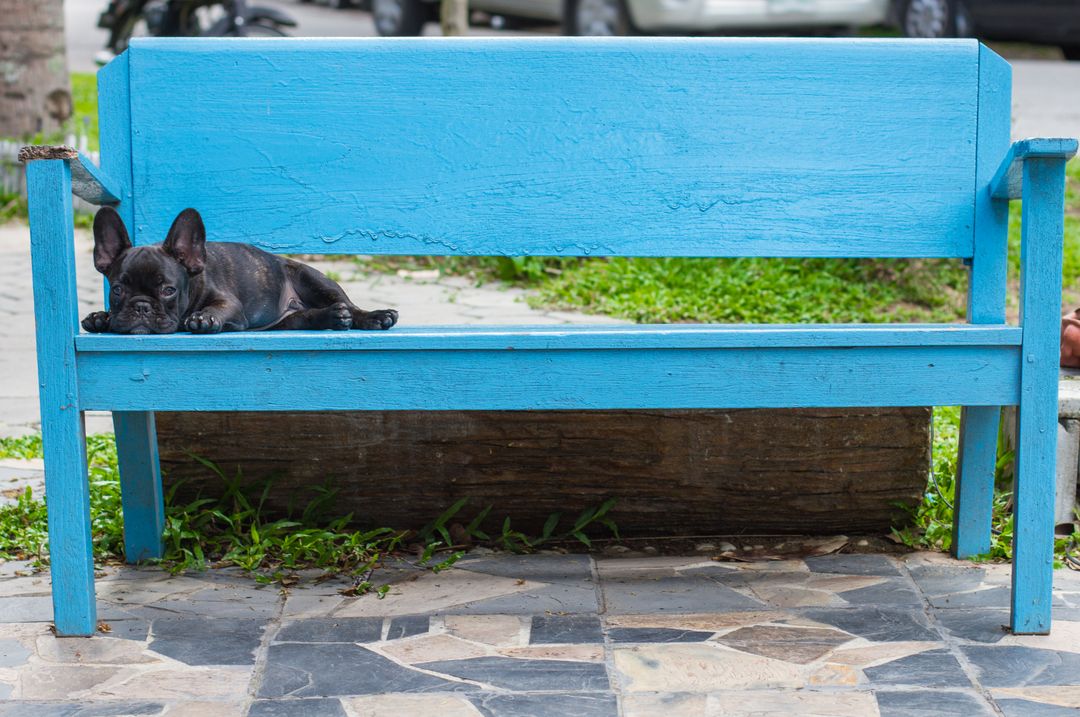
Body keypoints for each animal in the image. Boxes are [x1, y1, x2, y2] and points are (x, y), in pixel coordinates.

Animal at [82, 204, 399, 332]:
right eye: (117, 290)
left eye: (168, 290)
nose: (141, 306)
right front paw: (100, 317)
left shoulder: (229, 303)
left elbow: (216, 309)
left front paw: (203, 318)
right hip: (288, 321)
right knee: (308, 318)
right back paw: (332, 317)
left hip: (312, 277)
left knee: (349, 305)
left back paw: (374, 316)